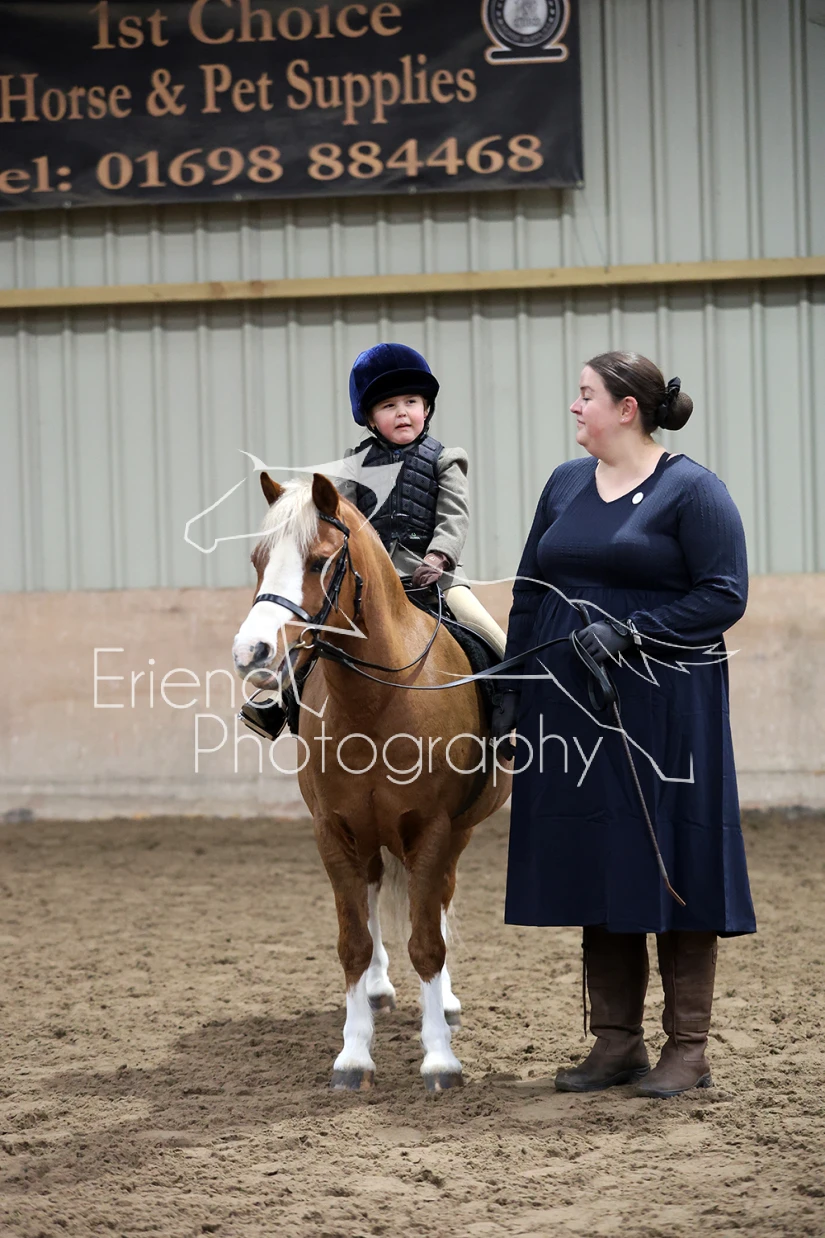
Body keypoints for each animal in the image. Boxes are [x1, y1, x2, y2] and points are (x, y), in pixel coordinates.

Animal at [232, 471, 512, 1091]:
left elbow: (428, 942)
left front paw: (440, 1058)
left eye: (318, 561)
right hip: (369, 833)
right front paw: (354, 1055)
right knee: (375, 889)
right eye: (258, 559)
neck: (377, 701)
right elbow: (353, 942)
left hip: (456, 832)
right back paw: (381, 991)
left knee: (438, 902)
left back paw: (445, 1005)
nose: (251, 652)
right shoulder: (334, 831)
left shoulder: (432, 829)